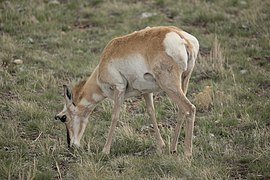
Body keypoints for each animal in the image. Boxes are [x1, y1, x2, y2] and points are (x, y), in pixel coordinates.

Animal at [54, 26, 198, 157]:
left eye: (63, 117)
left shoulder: (119, 89)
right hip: (183, 82)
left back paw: (187, 154)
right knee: (182, 111)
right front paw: (161, 146)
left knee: (190, 108)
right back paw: (173, 148)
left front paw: (105, 151)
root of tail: (182, 38)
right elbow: (151, 113)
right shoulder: (146, 92)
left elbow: (114, 116)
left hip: (170, 86)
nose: (71, 146)